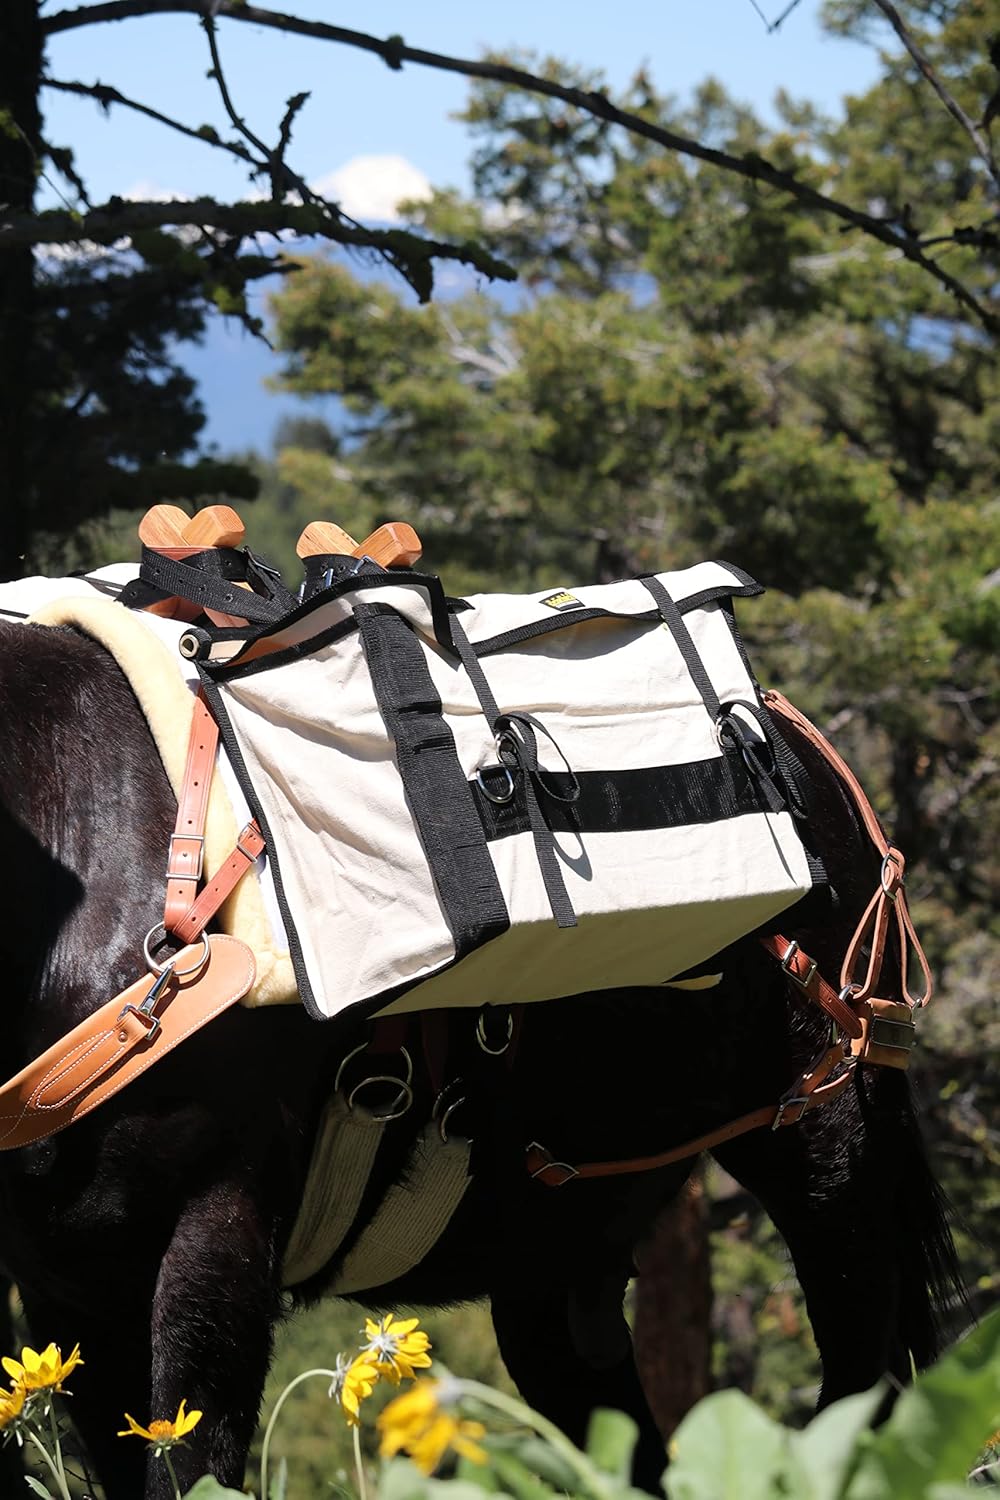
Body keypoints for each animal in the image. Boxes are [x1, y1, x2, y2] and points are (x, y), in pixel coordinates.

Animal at [0, 616, 962, 1500]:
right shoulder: (69, 1286)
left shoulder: (214, 1234)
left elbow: (196, 1462)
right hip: (557, 1267)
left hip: (830, 1162)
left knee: (858, 1394)